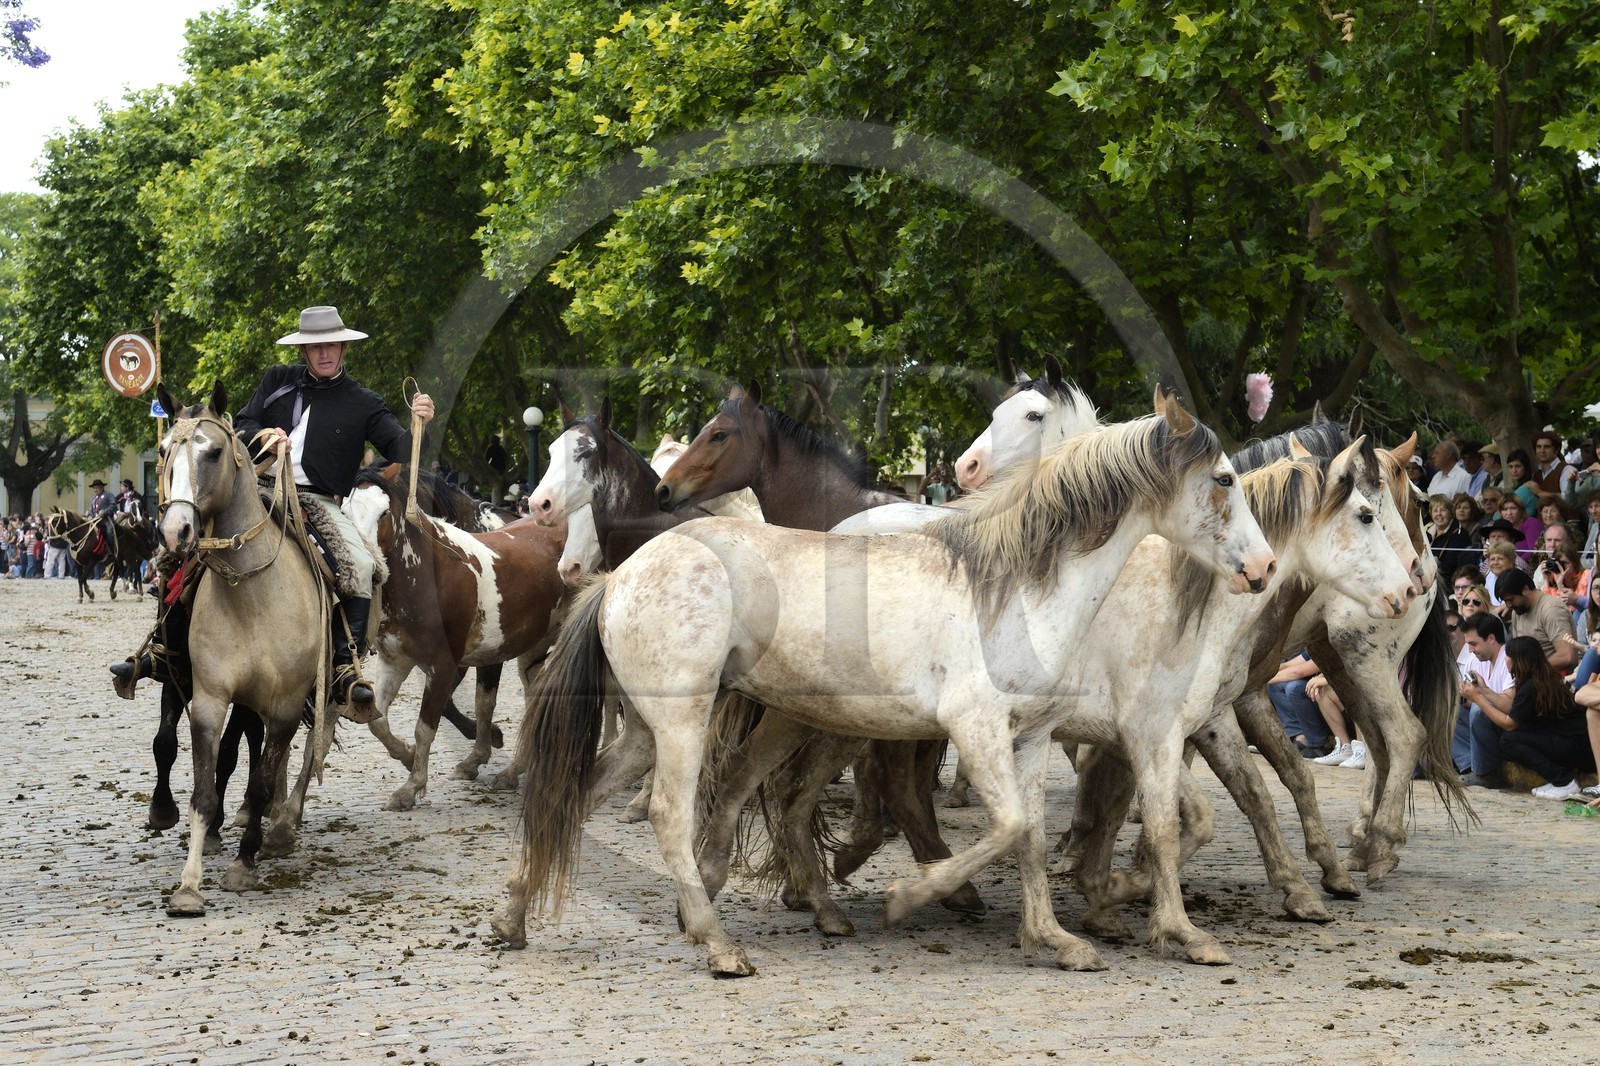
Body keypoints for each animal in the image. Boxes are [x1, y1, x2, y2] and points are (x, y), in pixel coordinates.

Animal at [154, 382, 334, 916]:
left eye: (214, 452)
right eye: (163, 450)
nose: (176, 532)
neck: (252, 593)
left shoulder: (286, 705)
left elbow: (261, 779)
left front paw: (245, 861)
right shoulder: (211, 700)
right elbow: (204, 788)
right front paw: (189, 884)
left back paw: (279, 828)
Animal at [342, 462, 570, 810]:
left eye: (383, 513)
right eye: (343, 511)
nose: (365, 564)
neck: (430, 574)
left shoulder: (444, 666)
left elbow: (426, 727)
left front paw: (411, 787)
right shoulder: (395, 661)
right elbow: (377, 721)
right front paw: (408, 757)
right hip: (534, 649)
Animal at [498, 392, 1276, 976]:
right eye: (1224, 480)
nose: (1264, 568)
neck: (1017, 587)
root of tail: (619, 576)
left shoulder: (1029, 738)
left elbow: (1027, 836)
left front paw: (1053, 939)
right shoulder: (977, 727)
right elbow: (1009, 827)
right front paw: (910, 897)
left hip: (650, 728)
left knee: (579, 794)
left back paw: (513, 916)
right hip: (685, 721)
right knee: (670, 812)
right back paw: (717, 942)